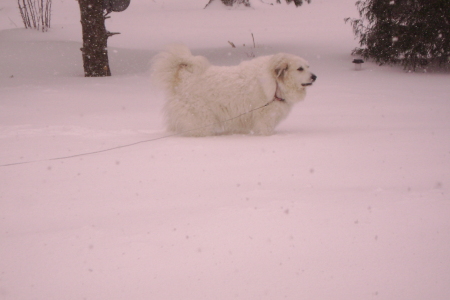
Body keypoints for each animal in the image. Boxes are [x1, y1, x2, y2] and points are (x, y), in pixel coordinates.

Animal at [151, 45, 316, 137]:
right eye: (300, 68)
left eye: (308, 66)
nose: (315, 77)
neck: (276, 82)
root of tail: (183, 77)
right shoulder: (265, 119)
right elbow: (265, 132)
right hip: (201, 119)